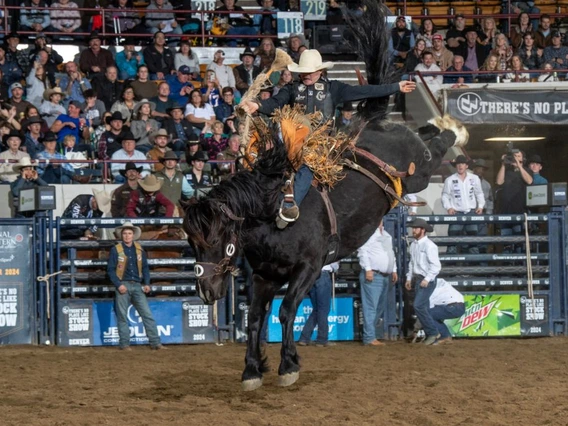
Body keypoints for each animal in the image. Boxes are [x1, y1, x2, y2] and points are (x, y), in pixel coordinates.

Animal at [182, 0, 466, 392]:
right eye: (192, 242)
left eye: (220, 240)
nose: (206, 292)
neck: (270, 215)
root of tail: (369, 123)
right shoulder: (264, 275)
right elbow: (255, 319)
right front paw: (252, 370)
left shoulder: (309, 267)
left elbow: (286, 312)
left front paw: (288, 365)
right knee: (425, 133)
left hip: (420, 172)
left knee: (435, 147)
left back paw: (452, 128)